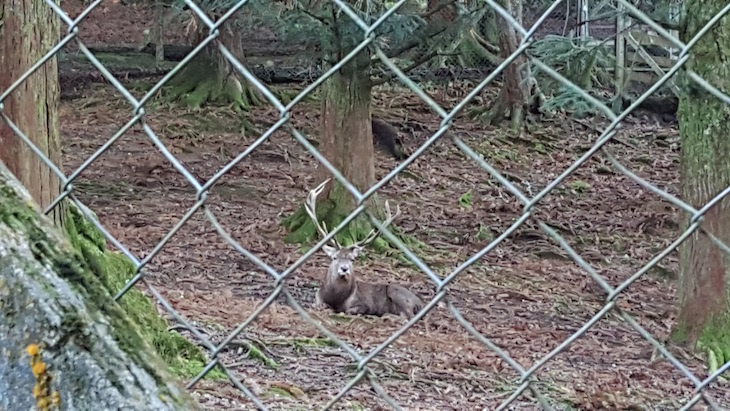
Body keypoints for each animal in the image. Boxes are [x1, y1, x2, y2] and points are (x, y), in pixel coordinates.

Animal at [304, 179, 424, 320]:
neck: (335, 299)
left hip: (396, 291)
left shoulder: (365, 304)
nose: (344, 268)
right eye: (334, 257)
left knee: (408, 316)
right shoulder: (317, 297)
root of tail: (420, 304)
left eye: (352, 259)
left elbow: (350, 310)